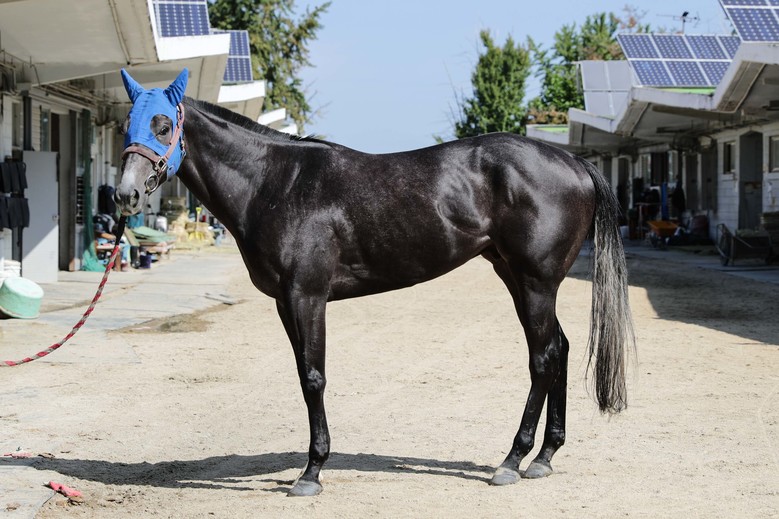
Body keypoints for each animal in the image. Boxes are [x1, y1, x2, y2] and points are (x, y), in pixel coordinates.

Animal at [114, 69, 634, 497]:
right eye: (126, 125)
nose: (125, 195)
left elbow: (314, 378)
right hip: (516, 276)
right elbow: (303, 375)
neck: (275, 183)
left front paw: (311, 473)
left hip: (534, 282)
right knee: (559, 349)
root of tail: (572, 162)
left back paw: (511, 460)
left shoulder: (307, 296)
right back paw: (544, 457)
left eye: (163, 124)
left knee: (543, 359)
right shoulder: (285, 302)